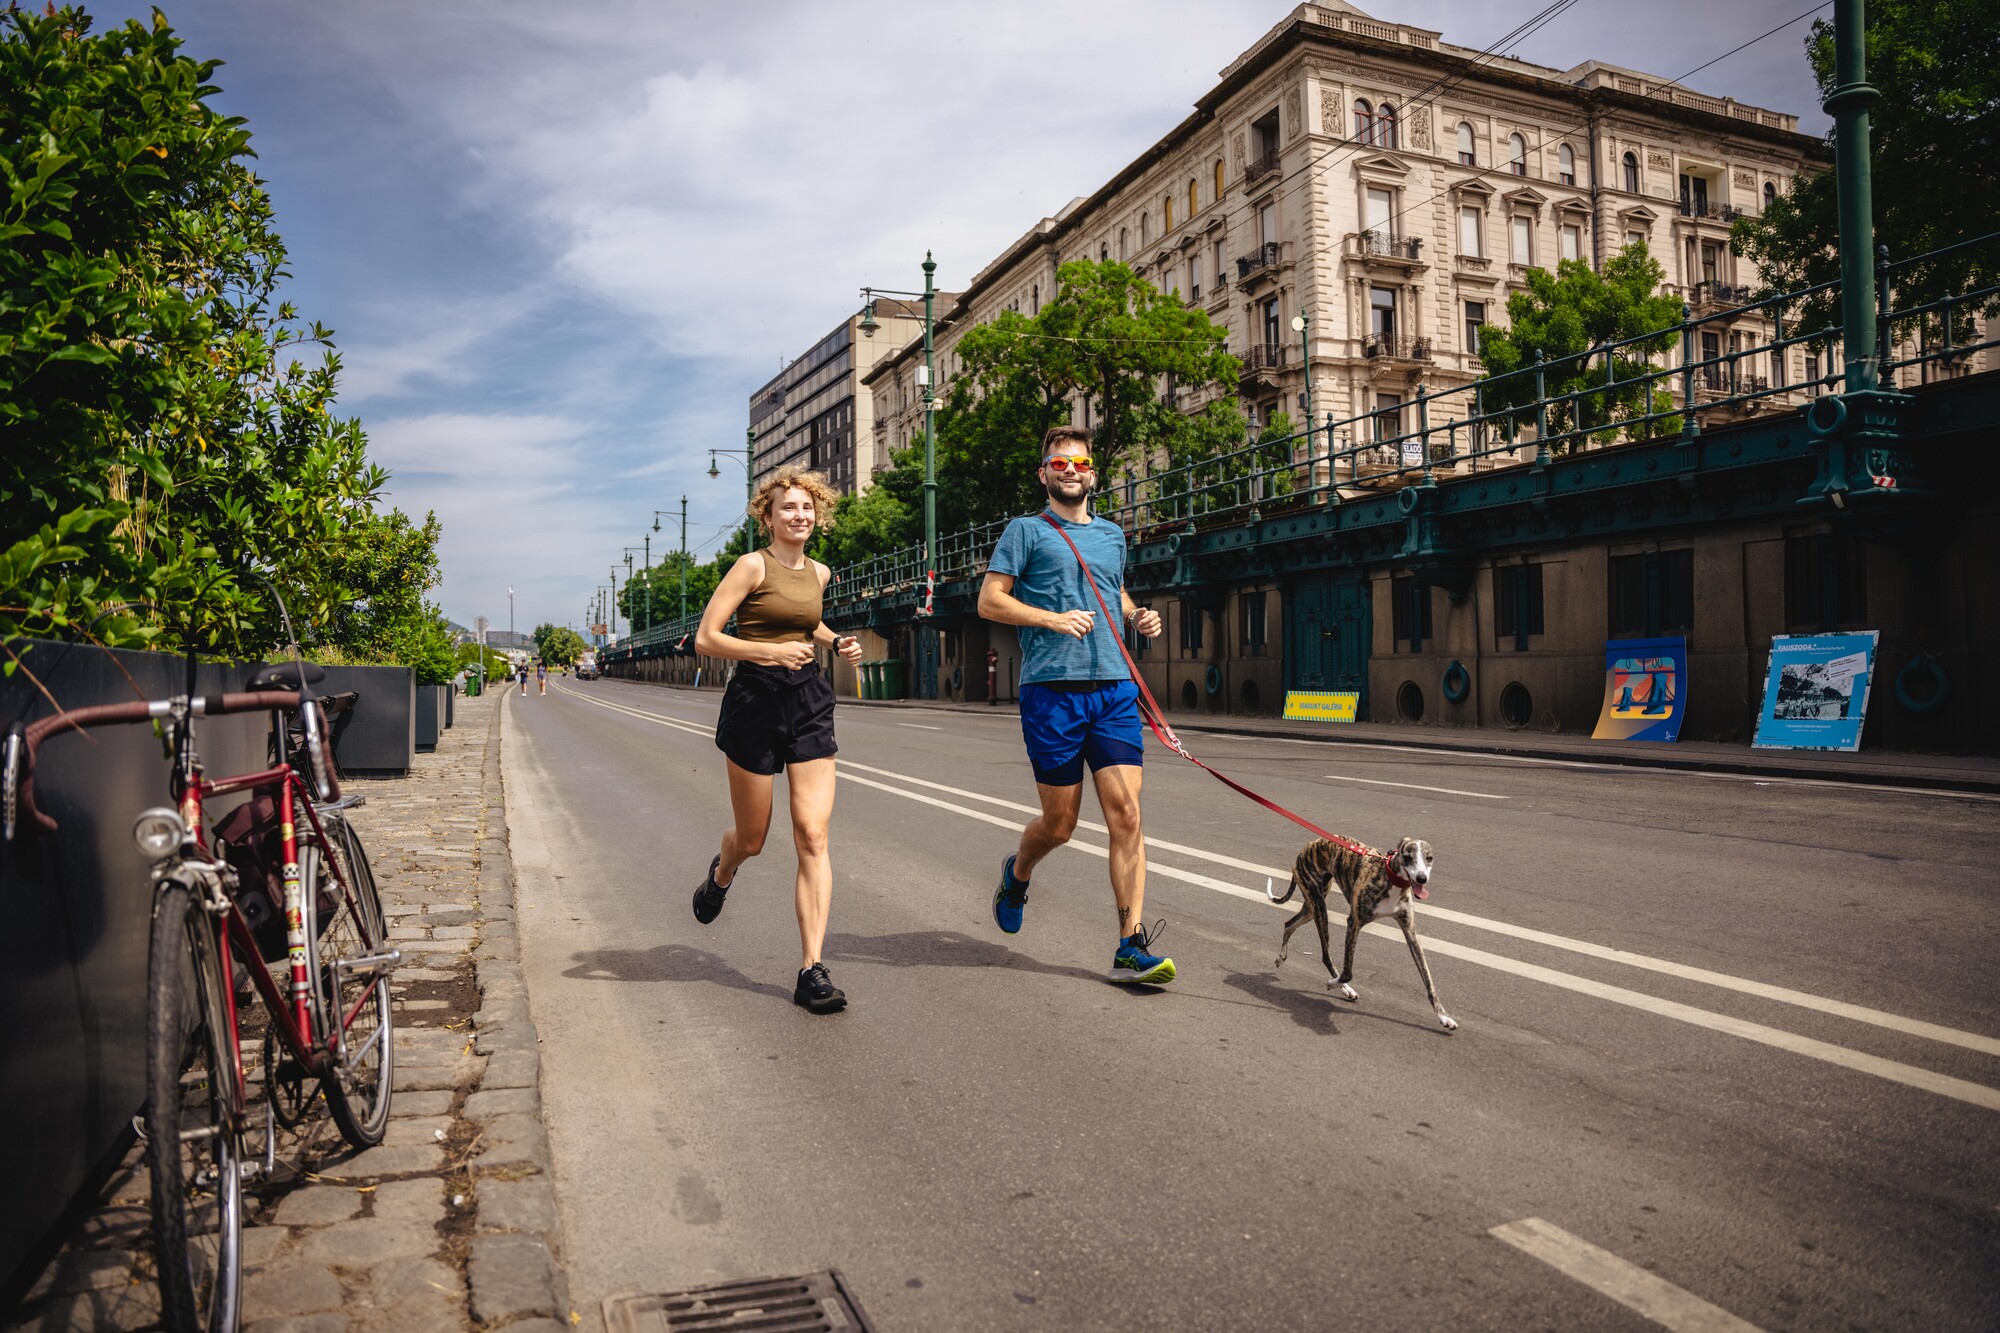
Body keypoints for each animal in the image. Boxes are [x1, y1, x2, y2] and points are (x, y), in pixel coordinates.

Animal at [1264, 832, 1456, 1024]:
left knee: (1289, 924)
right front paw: (1332, 983)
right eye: (1408, 857)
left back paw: (1282, 956)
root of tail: (1308, 846)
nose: (1421, 878)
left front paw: (1444, 1017)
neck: (1389, 878)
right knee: (1326, 956)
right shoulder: (1353, 923)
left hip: (1312, 907)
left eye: (1429, 858)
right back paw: (1344, 987)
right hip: (1319, 908)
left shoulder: (1410, 931)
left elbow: (1428, 981)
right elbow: (1348, 972)